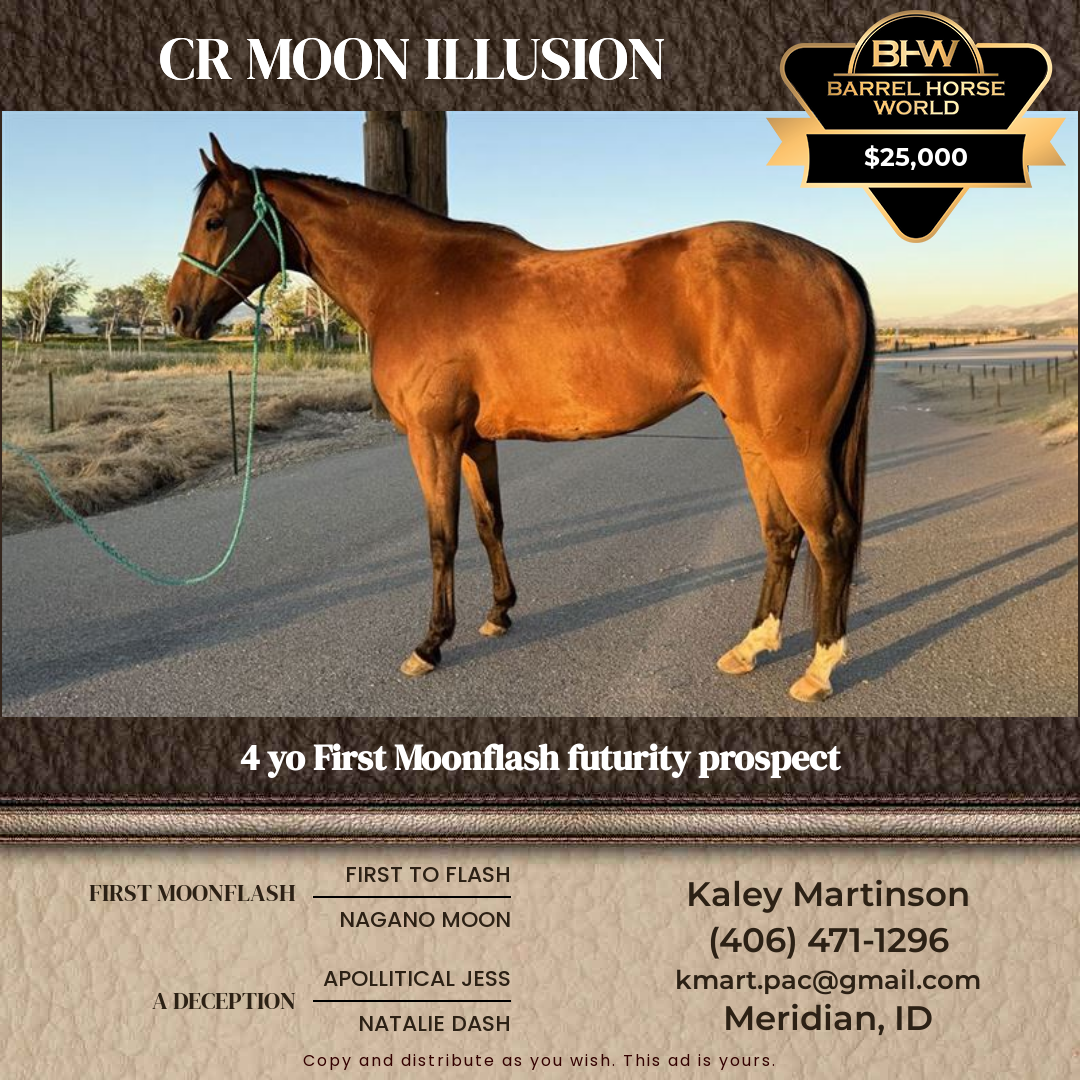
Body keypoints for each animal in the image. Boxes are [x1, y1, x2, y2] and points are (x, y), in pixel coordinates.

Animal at [167, 135, 874, 703]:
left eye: (214, 220)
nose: (177, 315)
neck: (414, 281)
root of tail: (832, 266)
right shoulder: (475, 441)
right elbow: (489, 525)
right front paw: (499, 613)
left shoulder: (432, 438)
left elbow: (441, 538)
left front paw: (430, 644)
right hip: (753, 436)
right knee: (781, 533)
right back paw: (751, 647)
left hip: (793, 447)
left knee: (830, 534)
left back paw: (817, 670)